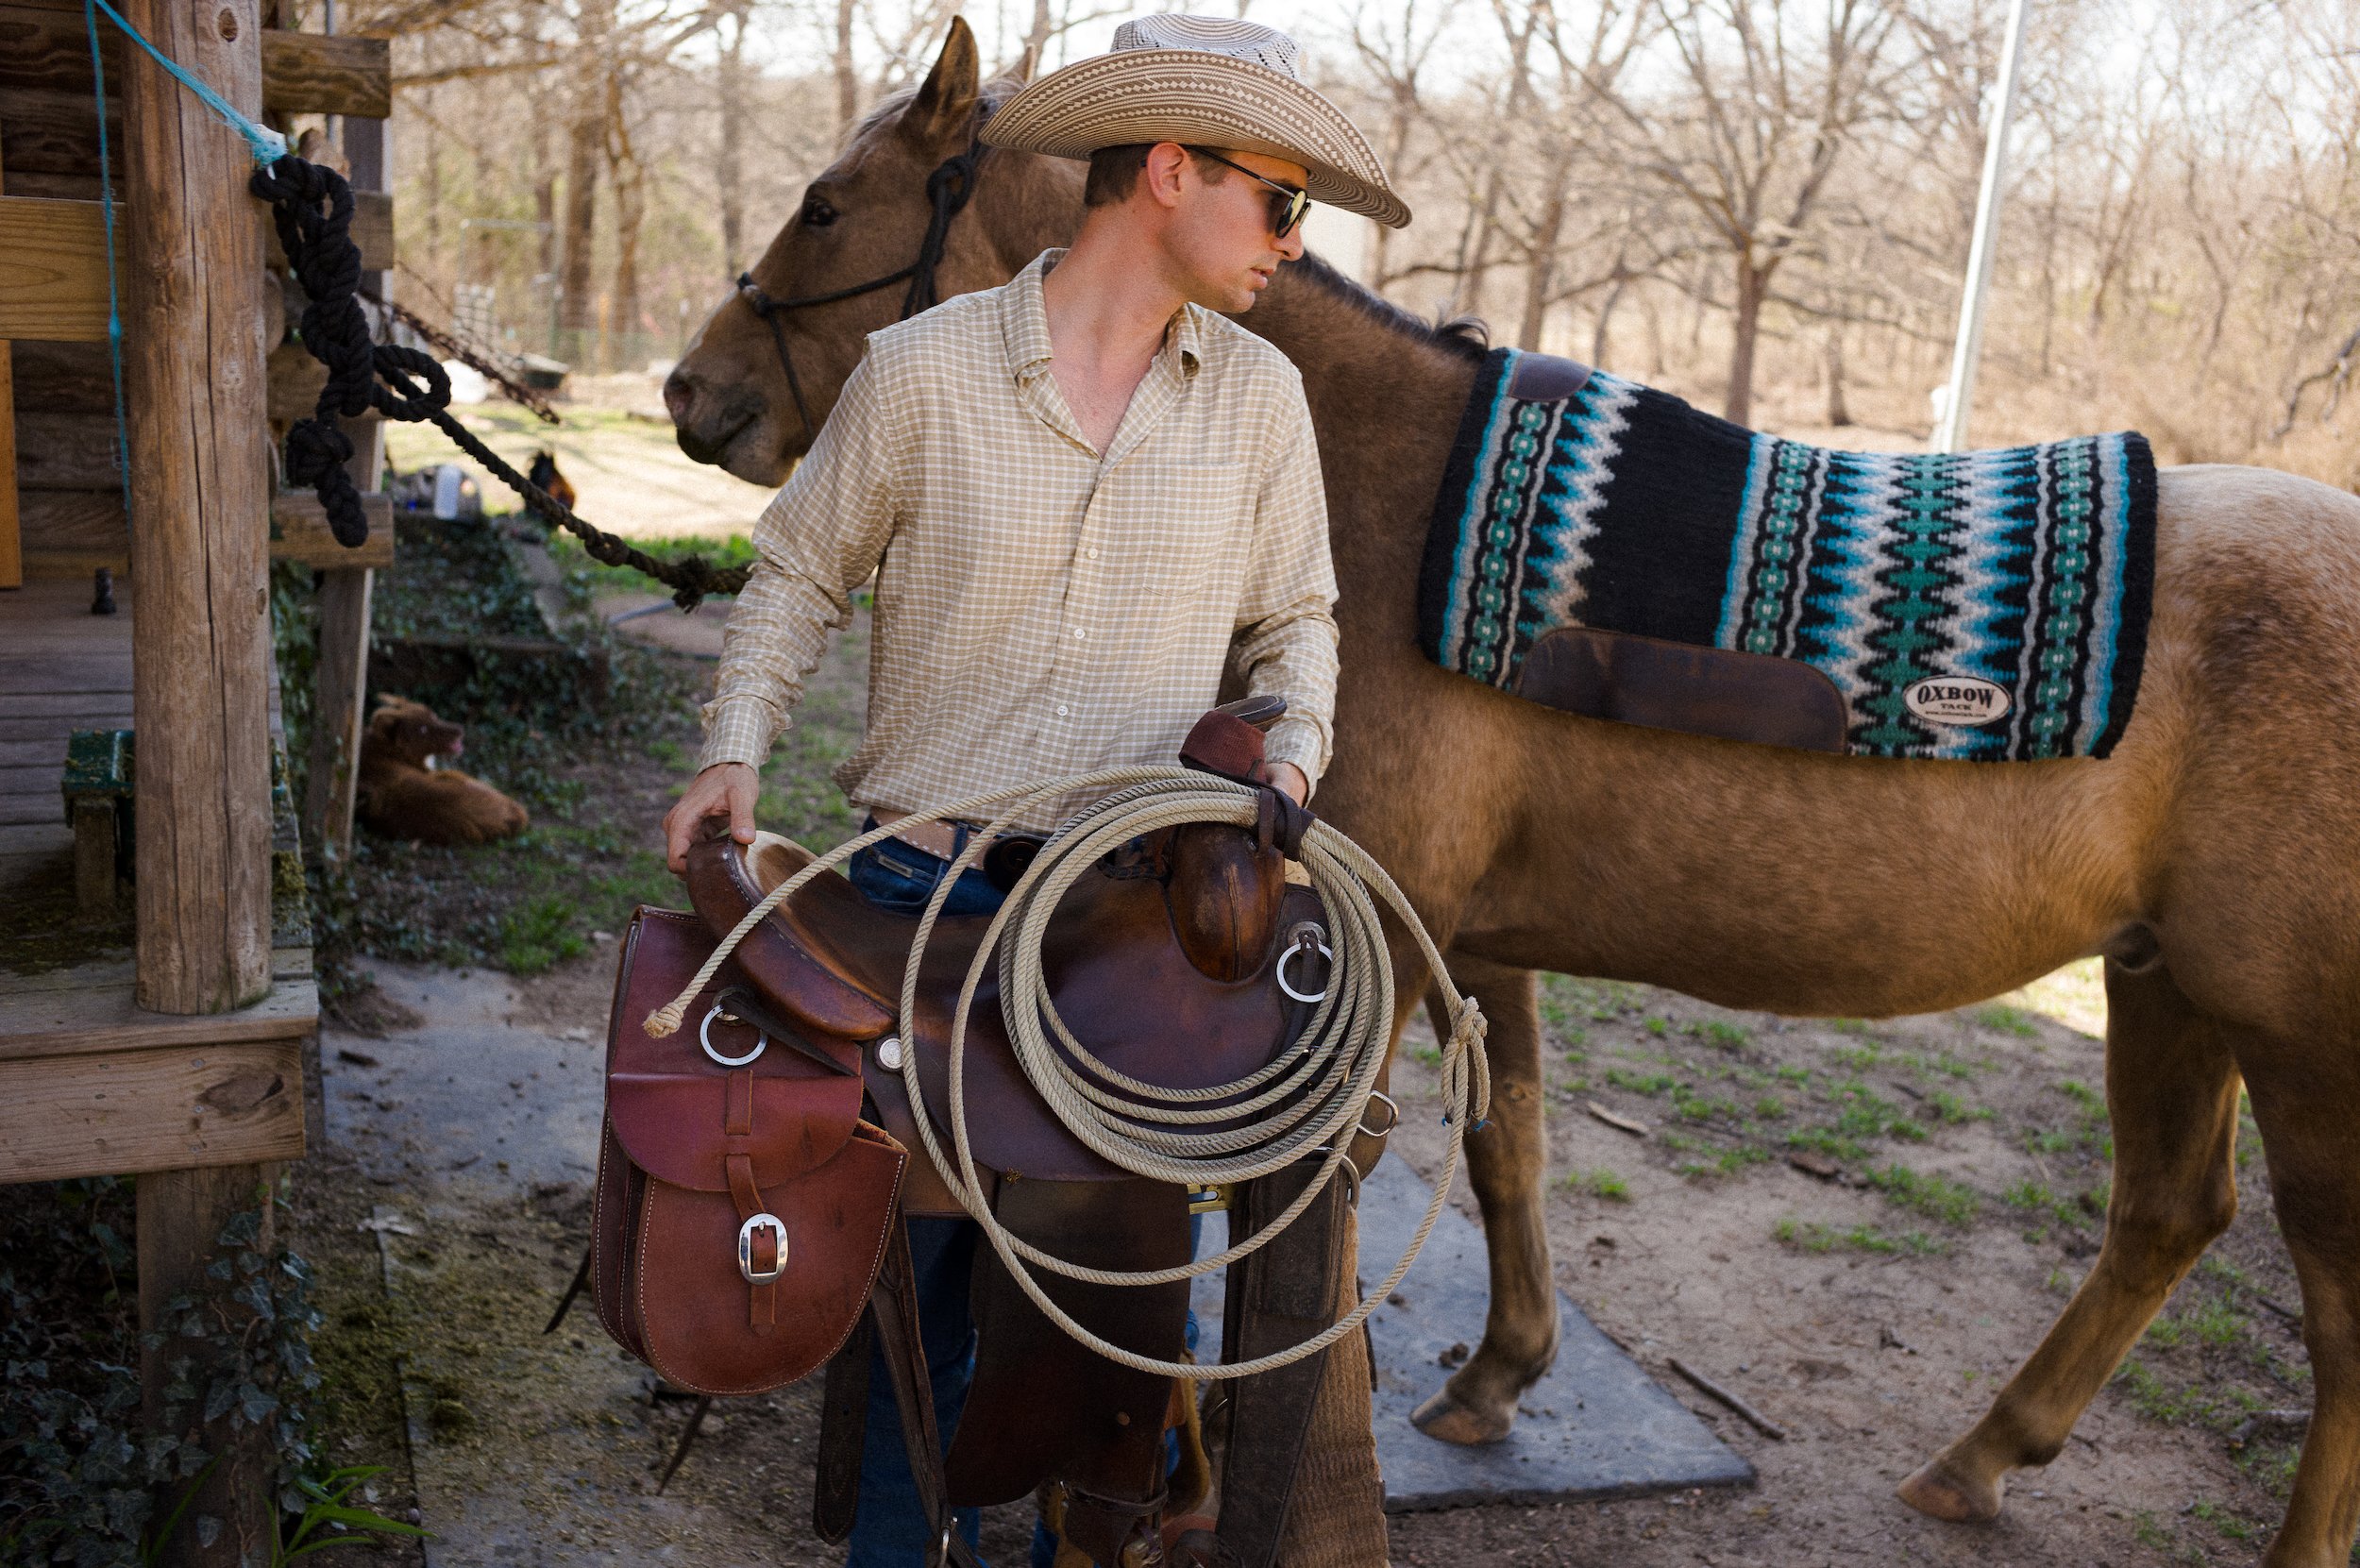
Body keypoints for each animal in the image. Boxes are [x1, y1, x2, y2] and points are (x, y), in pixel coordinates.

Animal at [658, 22, 2360, 1566]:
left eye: (824, 203)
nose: (692, 390)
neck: (1372, 492)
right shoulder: (1470, 937)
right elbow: (1510, 1146)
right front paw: (1495, 1376)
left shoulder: (1371, 941)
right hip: (2166, 984)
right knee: (2166, 1214)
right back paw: (1984, 1456)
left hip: (2296, 1044)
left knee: (2332, 1303)